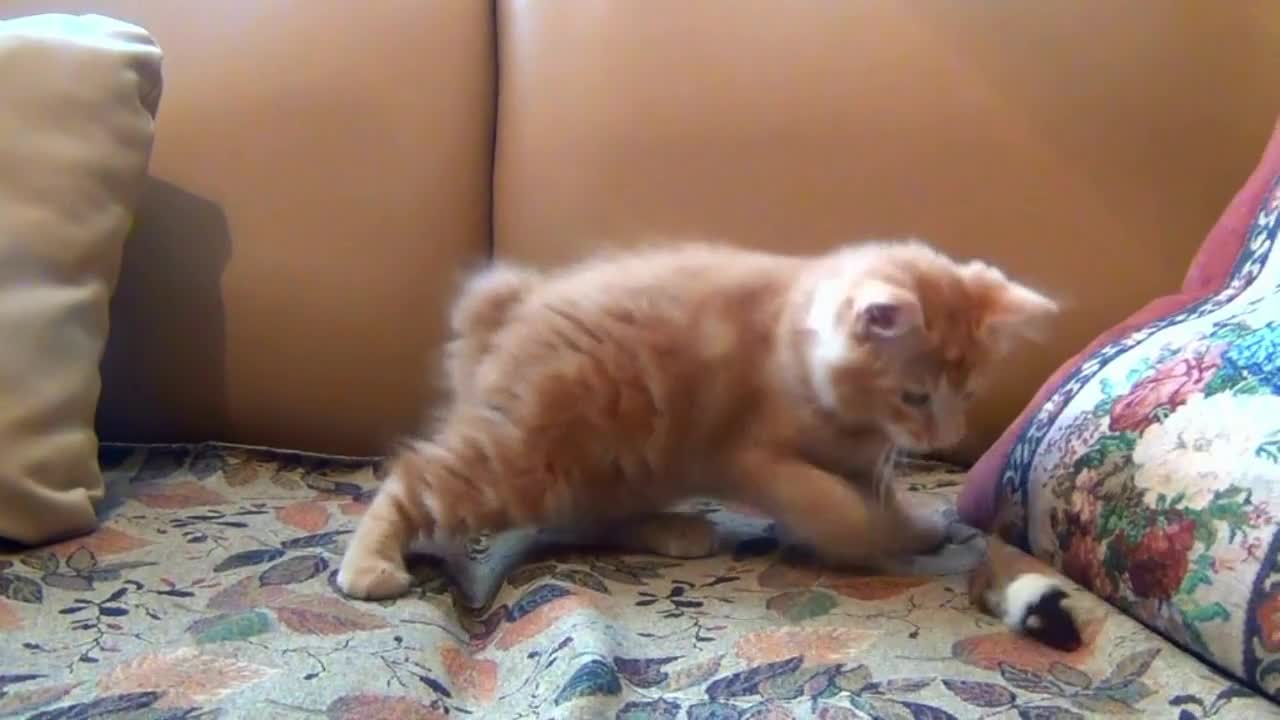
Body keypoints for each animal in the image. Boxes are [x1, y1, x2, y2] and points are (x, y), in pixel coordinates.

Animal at [335, 238, 1054, 597]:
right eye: (915, 397)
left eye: (966, 393)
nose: (947, 436)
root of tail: (514, 308)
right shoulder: (749, 456)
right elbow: (837, 507)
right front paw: (869, 538)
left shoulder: (863, 459)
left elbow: (884, 498)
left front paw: (912, 527)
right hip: (533, 455)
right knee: (414, 478)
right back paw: (368, 566)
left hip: (608, 460)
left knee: (584, 515)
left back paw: (670, 528)